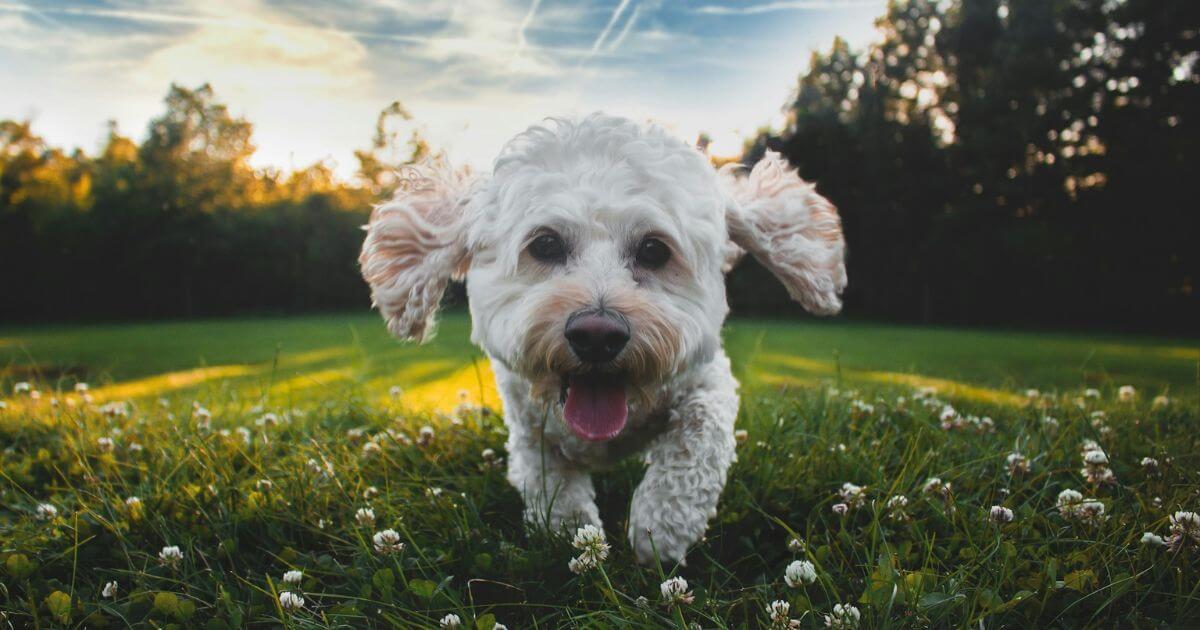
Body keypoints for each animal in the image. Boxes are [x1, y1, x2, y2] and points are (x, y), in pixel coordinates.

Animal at [355, 114, 844, 564]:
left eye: (654, 250)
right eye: (545, 244)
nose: (597, 335)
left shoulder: (707, 380)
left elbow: (698, 438)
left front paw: (659, 527)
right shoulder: (528, 426)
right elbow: (550, 482)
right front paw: (574, 535)